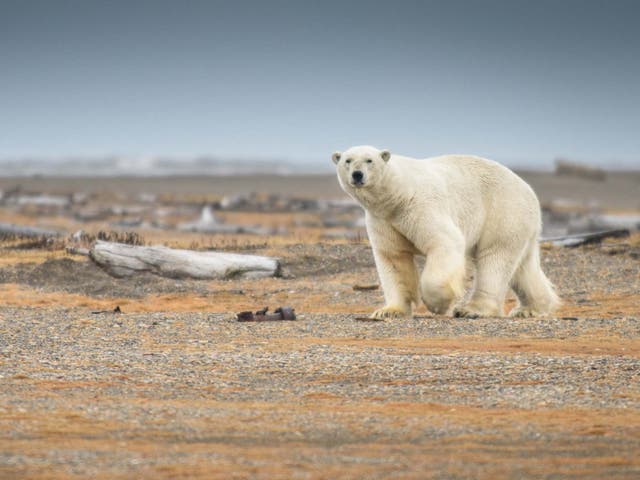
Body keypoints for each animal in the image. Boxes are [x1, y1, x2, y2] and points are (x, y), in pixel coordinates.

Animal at [332, 146, 556, 318]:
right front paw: (389, 311)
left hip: (503, 211)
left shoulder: (420, 207)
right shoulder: (383, 220)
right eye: (347, 160)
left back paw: (472, 310)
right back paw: (531, 309)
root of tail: (530, 192)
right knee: (522, 267)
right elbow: (393, 258)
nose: (357, 175)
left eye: (369, 160)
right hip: (519, 222)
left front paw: (439, 304)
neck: (397, 195)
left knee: (494, 258)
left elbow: (444, 241)